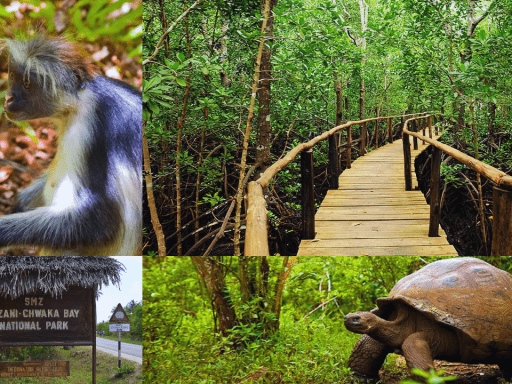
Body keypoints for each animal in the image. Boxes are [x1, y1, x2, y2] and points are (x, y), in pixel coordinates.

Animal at [1, 36, 141, 255]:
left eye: (27, 85)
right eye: (13, 77)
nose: (8, 98)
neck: (81, 101)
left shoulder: (90, 129)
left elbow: (100, 220)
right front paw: (20, 204)